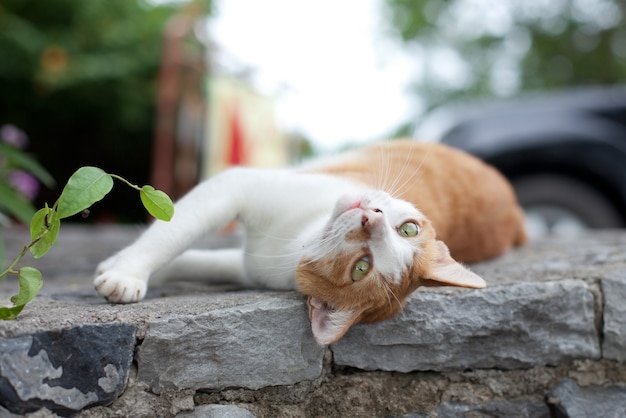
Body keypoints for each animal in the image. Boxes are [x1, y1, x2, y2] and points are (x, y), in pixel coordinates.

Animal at [95, 140, 524, 342]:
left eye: (361, 268)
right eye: (409, 230)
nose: (371, 218)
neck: (297, 239)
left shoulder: (250, 261)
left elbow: (179, 241)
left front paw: (122, 274)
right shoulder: (238, 191)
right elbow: (177, 233)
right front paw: (119, 264)